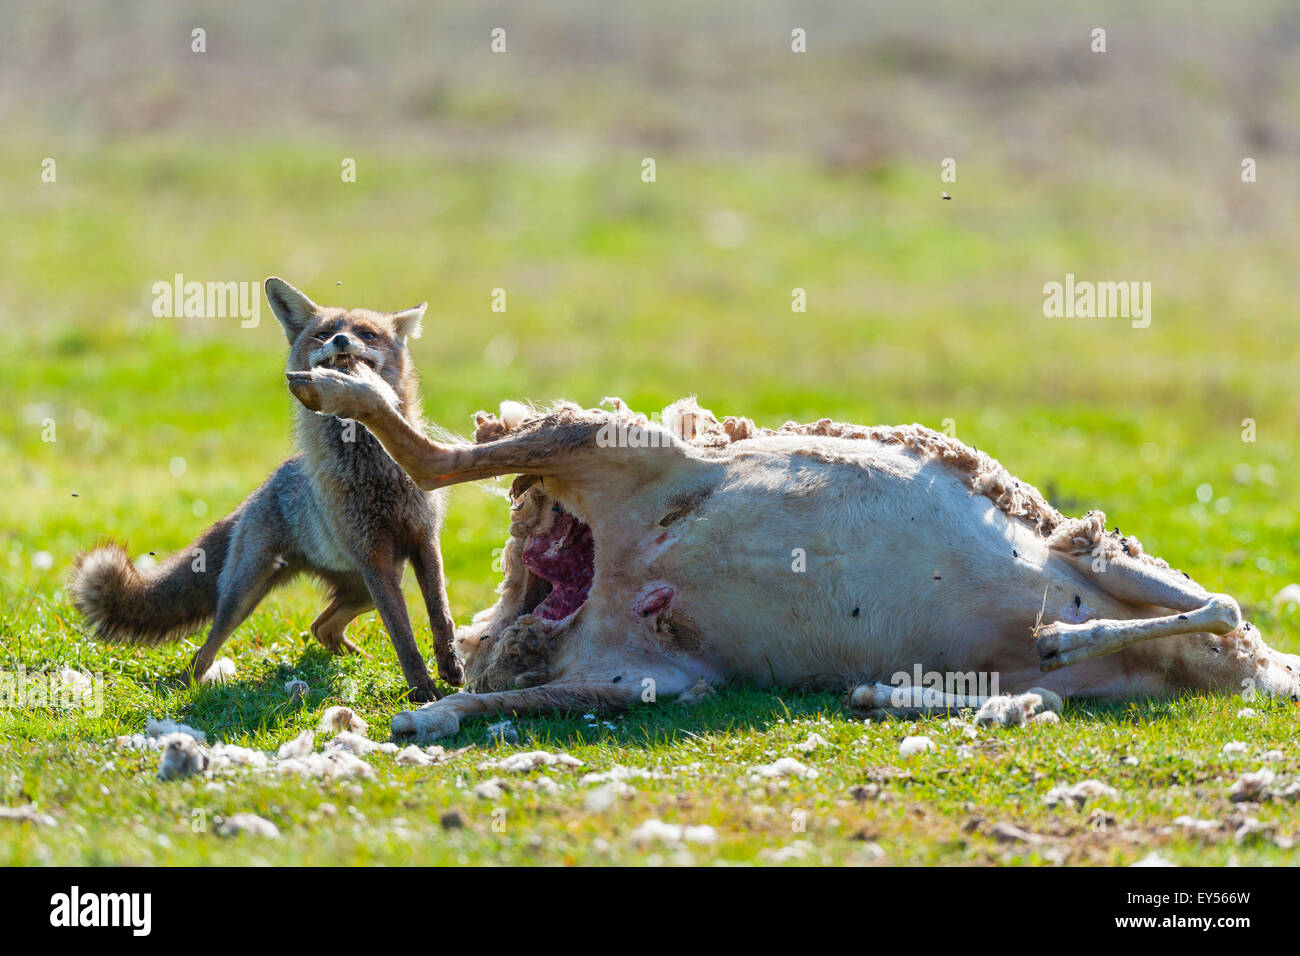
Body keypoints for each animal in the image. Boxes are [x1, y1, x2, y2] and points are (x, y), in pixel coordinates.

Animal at [69, 277, 461, 702]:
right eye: (323, 333)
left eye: (367, 334)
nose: (341, 340)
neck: (373, 471)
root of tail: (260, 491)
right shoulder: (373, 558)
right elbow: (402, 635)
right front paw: (423, 690)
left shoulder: (423, 540)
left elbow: (440, 613)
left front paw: (450, 666)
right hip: (247, 596)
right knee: (205, 653)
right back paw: (189, 689)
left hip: (363, 589)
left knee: (320, 626)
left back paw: (356, 660)